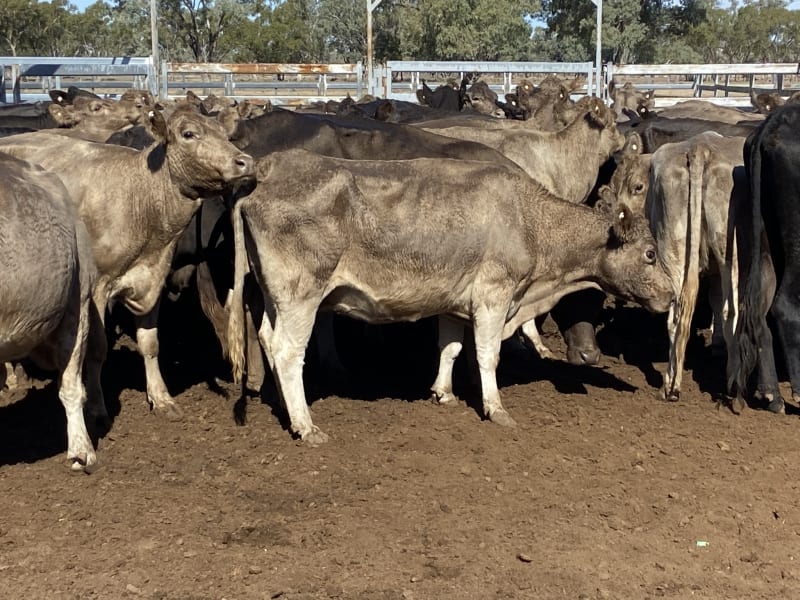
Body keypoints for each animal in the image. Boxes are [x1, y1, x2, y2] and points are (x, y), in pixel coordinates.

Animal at [0, 107, 256, 420]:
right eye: (189, 134)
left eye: (225, 134)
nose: (245, 161)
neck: (142, 200)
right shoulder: (97, 289)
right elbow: (97, 348)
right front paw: (97, 406)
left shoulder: (154, 280)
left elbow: (150, 343)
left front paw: (161, 397)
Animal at [225, 148, 673, 444]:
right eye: (650, 254)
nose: (671, 296)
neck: (530, 220)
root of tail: (270, 170)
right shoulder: (494, 294)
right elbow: (487, 355)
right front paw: (496, 408)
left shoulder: (456, 299)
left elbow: (451, 348)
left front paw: (444, 392)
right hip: (302, 295)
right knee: (288, 351)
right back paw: (305, 424)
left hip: (275, 296)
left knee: (267, 338)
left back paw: (284, 407)